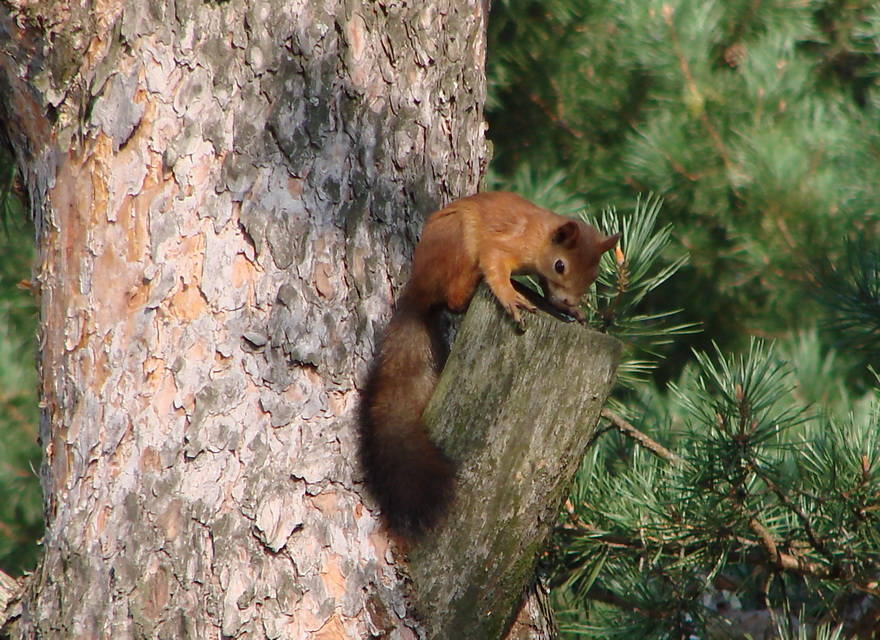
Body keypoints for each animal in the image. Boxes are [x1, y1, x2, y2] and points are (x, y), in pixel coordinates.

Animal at [358, 191, 620, 536]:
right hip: (457, 242)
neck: (541, 236)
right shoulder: (506, 244)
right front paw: (511, 296)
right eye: (560, 265)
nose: (568, 301)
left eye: (593, 275)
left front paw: (572, 312)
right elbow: (495, 264)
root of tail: (418, 290)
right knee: (454, 299)